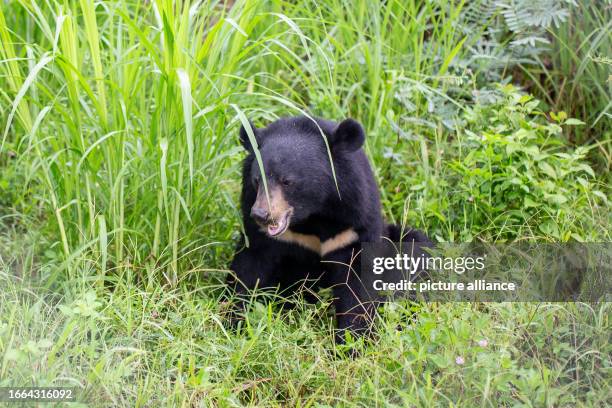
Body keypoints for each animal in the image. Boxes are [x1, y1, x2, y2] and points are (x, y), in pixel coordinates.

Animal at [226, 115, 430, 342]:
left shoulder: (352, 225)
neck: (314, 213)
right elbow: (250, 268)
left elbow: (357, 282)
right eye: (257, 179)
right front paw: (235, 322)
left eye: (287, 181)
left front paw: (353, 340)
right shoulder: (261, 230)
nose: (261, 215)